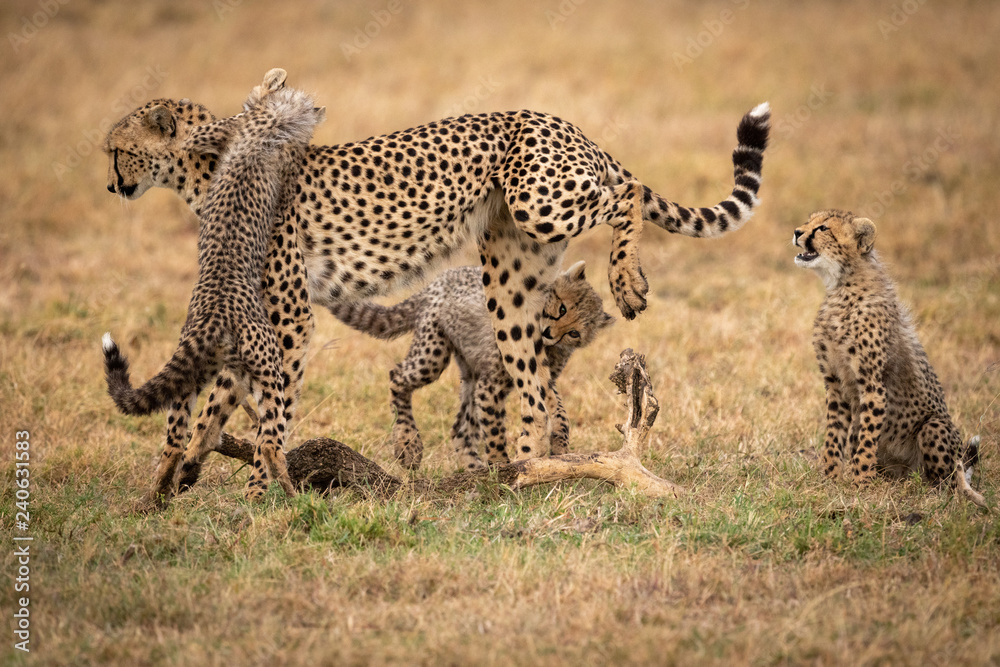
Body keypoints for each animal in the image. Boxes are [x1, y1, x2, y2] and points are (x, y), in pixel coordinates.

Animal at [102, 70, 324, 502]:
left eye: (117, 151)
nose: (109, 187)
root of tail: (216, 313)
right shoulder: (291, 321)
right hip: (260, 355)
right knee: (268, 438)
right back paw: (279, 495)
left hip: (203, 364)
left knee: (177, 432)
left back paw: (157, 496)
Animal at [331, 260, 614, 470]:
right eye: (563, 308)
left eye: (574, 333)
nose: (549, 333)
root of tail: (441, 278)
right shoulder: (493, 385)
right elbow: (496, 430)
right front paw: (502, 467)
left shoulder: (539, 380)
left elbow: (558, 412)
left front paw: (561, 447)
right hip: (433, 354)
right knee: (397, 375)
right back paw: (408, 444)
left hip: (470, 373)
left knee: (460, 428)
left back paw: (473, 468)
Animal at [793, 209, 986, 506]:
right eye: (808, 221)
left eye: (823, 228)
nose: (796, 232)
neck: (841, 287)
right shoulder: (835, 383)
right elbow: (834, 434)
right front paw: (830, 477)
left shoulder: (873, 384)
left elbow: (867, 439)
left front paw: (860, 483)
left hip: (934, 427)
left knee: (948, 482)